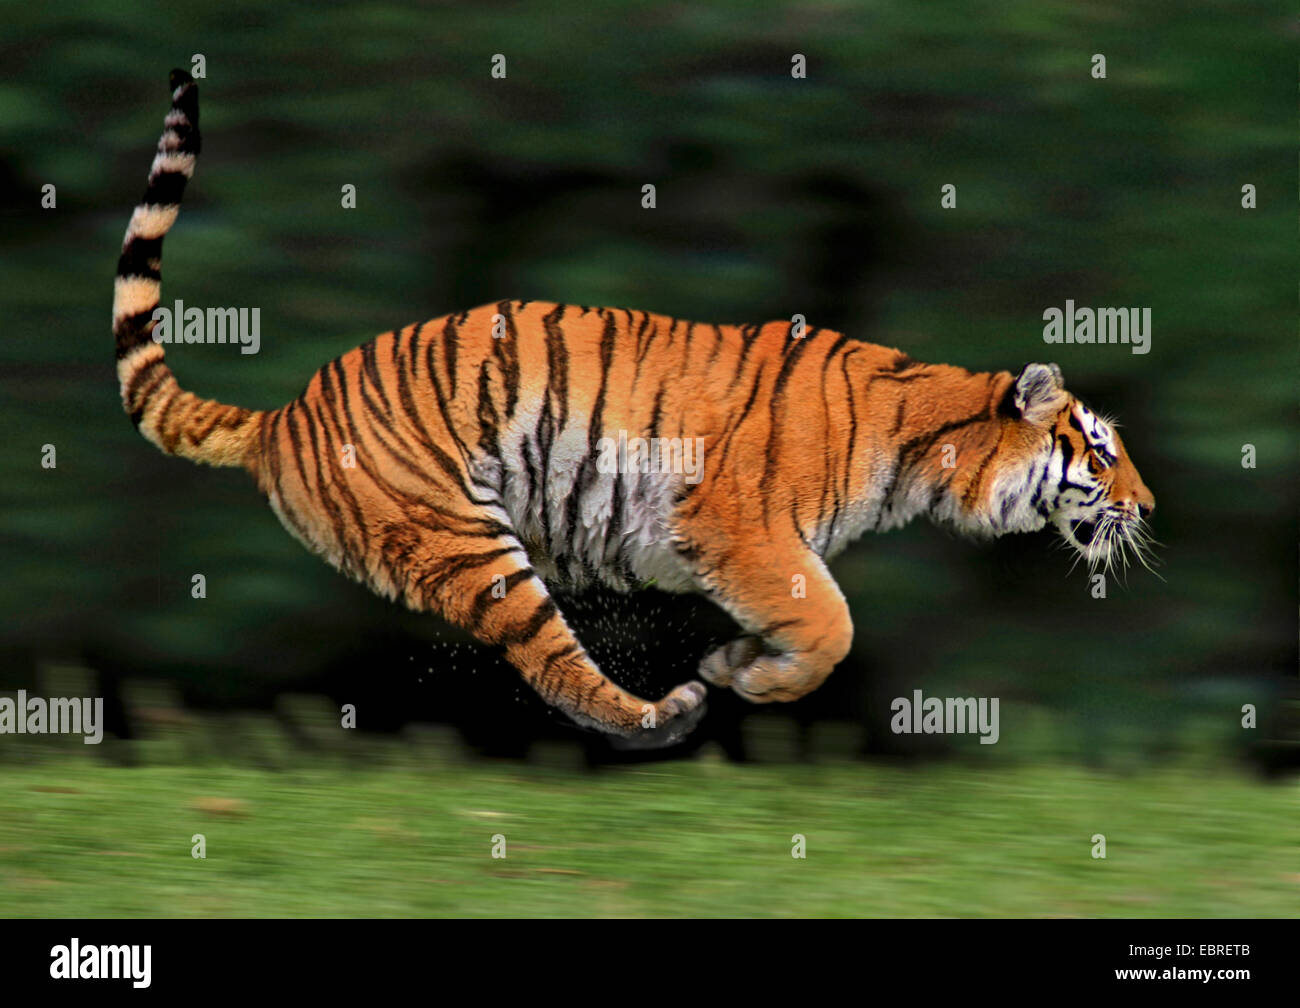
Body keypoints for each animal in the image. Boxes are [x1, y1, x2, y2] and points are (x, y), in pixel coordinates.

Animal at [113, 70, 1156, 748]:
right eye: (1102, 453)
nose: (1148, 508)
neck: (925, 455)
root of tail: (284, 414)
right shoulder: (740, 525)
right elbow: (833, 624)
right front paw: (752, 678)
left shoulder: (758, 549)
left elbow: (808, 615)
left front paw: (740, 663)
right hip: (469, 542)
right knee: (556, 664)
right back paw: (663, 718)